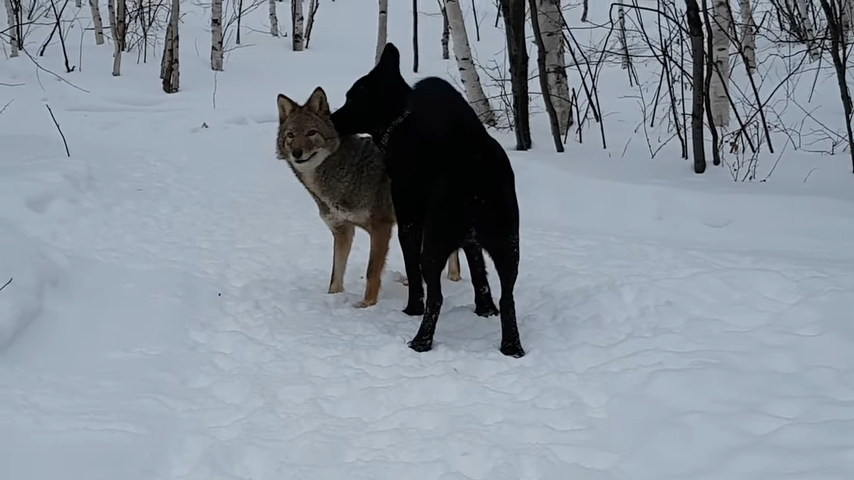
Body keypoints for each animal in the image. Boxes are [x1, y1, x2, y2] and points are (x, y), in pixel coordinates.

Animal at [332, 43, 524, 358]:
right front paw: (484, 310)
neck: (401, 118)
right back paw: (511, 346)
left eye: (353, 97)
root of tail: (477, 173)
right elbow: (480, 275)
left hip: (434, 244)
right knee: (508, 298)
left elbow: (414, 275)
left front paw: (412, 309)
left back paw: (420, 341)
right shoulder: (470, 239)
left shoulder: (408, 222)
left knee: (436, 297)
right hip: (508, 244)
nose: (331, 120)